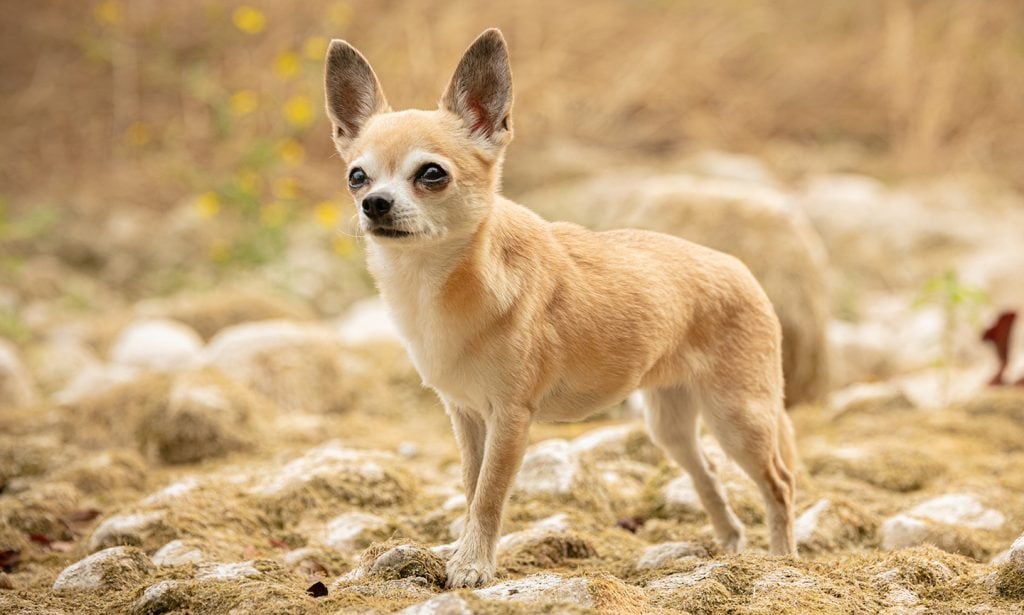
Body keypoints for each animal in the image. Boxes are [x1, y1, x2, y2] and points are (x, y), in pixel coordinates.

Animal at [323, 29, 794, 589]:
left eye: (431, 174)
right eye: (357, 177)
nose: (374, 203)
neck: (433, 284)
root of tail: (742, 270)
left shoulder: (510, 419)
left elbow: (489, 496)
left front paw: (473, 566)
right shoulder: (467, 417)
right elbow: (470, 488)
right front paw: (462, 552)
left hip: (738, 417)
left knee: (779, 483)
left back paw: (784, 561)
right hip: (670, 424)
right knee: (710, 475)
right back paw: (728, 547)